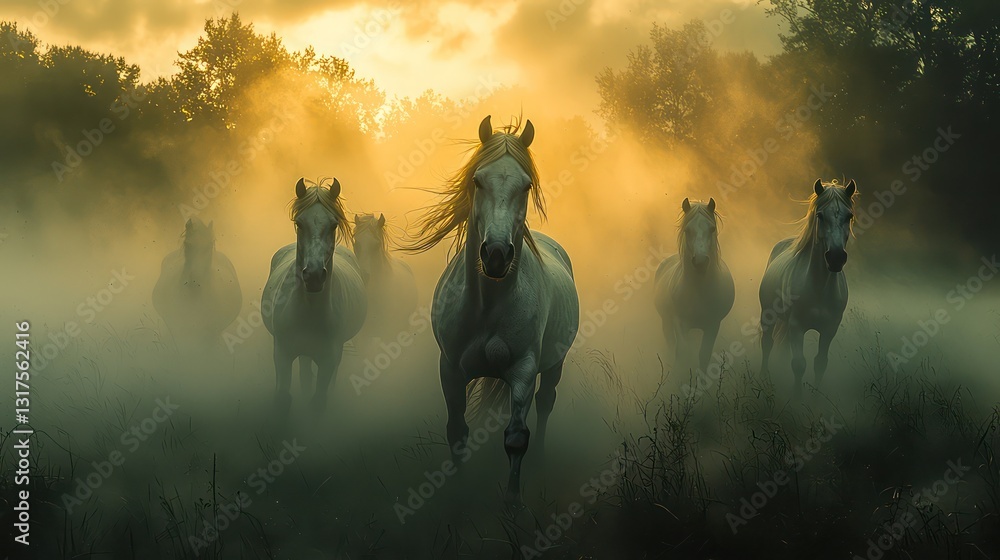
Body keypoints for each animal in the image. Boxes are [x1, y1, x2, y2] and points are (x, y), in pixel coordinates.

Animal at [261, 177, 367, 414]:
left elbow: (318, 401)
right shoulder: (282, 354)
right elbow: (283, 398)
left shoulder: (329, 360)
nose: (314, 275)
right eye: (300, 223)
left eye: (334, 225)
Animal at [404, 115, 579, 505]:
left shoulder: (524, 370)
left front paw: (513, 501)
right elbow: (457, 431)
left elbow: (516, 438)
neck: (487, 305)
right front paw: (459, 490)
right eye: (477, 180)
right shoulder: (450, 369)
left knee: (546, 402)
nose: (496, 254)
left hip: (554, 363)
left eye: (526, 185)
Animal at [653, 197, 735, 373]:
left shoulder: (713, 324)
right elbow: (682, 352)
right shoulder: (680, 322)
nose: (700, 261)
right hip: (666, 321)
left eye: (712, 229)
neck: (699, 289)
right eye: (687, 230)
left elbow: (704, 355)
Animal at [759, 179, 858, 395]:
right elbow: (799, 364)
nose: (836, 257)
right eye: (820, 215)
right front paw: (797, 397)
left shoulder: (829, 329)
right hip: (768, 315)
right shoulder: (797, 327)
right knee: (767, 344)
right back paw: (763, 378)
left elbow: (820, 362)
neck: (819, 287)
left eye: (849, 216)